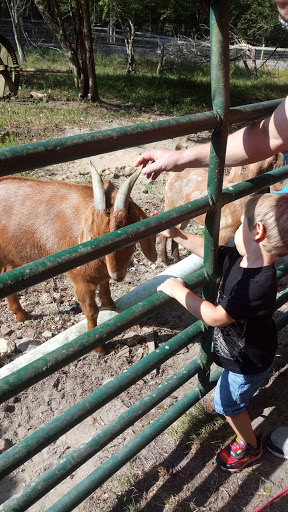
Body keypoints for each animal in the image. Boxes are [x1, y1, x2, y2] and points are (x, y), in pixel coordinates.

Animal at [0, 166, 156, 354]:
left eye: (130, 237)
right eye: (95, 237)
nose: (117, 275)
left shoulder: (101, 276)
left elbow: (105, 287)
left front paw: (109, 305)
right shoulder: (81, 281)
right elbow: (91, 311)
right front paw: (98, 347)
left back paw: (21, 314)